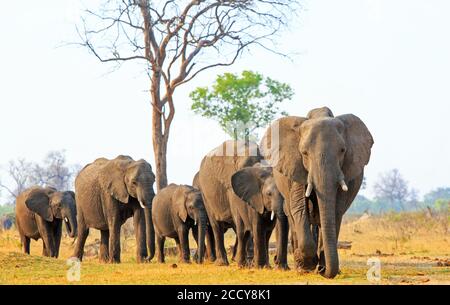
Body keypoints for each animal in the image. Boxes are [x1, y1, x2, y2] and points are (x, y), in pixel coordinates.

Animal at [198, 139, 288, 268]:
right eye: (243, 167)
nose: (277, 260)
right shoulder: (230, 183)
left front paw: (260, 265)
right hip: (205, 194)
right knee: (217, 226)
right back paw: (223, 263)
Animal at [260, 107, 372, 278]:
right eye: (304, 153)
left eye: (342, 151)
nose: (323, 272)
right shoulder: (295, 166)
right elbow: (299, 208)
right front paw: (306, 266)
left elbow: (335, 211)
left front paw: (321, 267)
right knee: (294, 216)